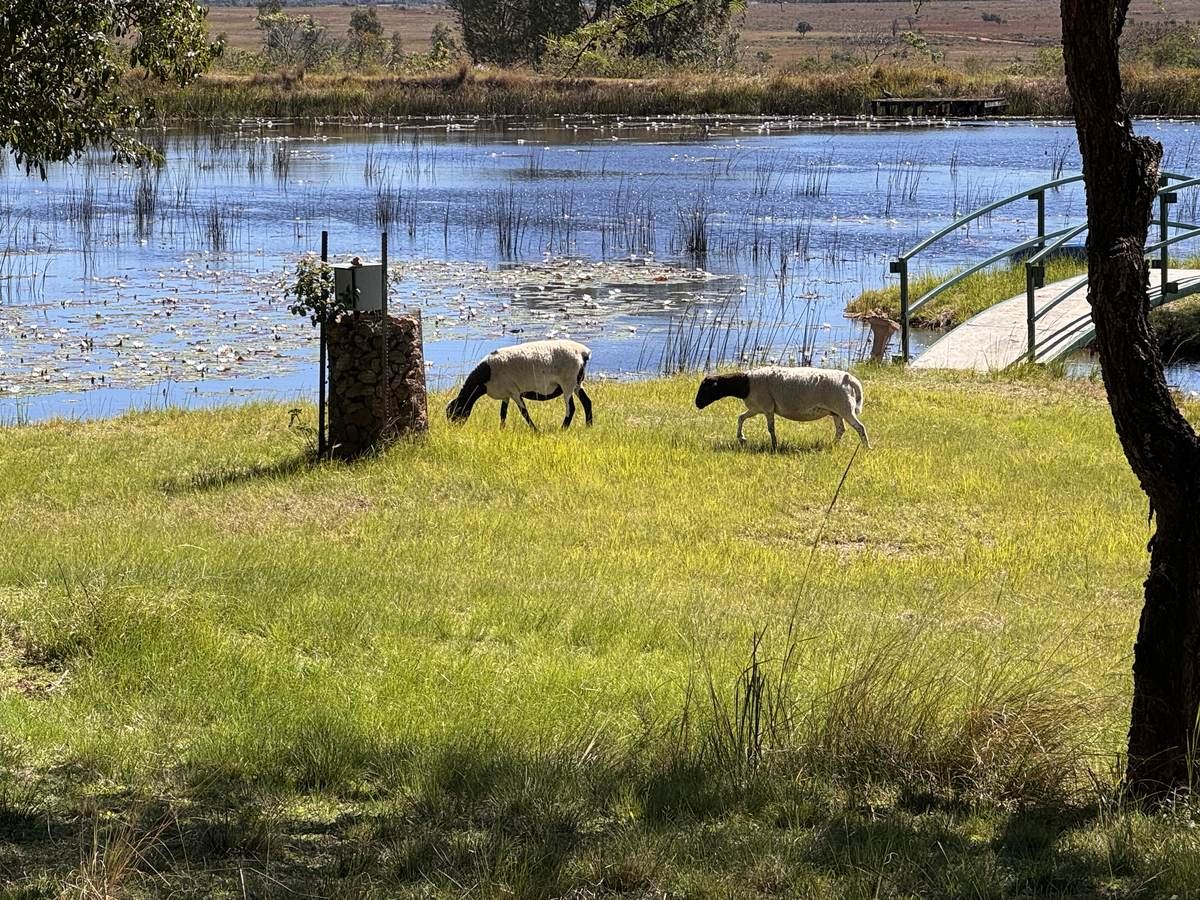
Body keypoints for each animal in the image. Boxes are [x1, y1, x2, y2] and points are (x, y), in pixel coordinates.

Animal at [446, 339, 594, 430]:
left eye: (456, 411)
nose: (453, 429)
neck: (486, 376)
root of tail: (584, 353)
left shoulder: (514, 392)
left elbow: (524, 412)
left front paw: (535, 430)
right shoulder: (506, 394)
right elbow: (503, 413)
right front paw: (501, 430)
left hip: (567, 382)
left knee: (571, 408)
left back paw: (563, 428)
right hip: (577, 383)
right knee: (587, 402)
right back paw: (589, 426)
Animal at [694, 366, 870, 451]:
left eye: (706, 388)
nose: (697, 404)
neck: (745, 384)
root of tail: (850, 380)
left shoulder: (767, 407)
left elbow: (770, 428)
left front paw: (774, 445)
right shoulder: (756, 407)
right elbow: (741, 417)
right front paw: (742, 438)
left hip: (845, 408)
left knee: (860, 427)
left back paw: (867, 447)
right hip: (836, 411)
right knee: (841, 430)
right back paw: (831, 445)